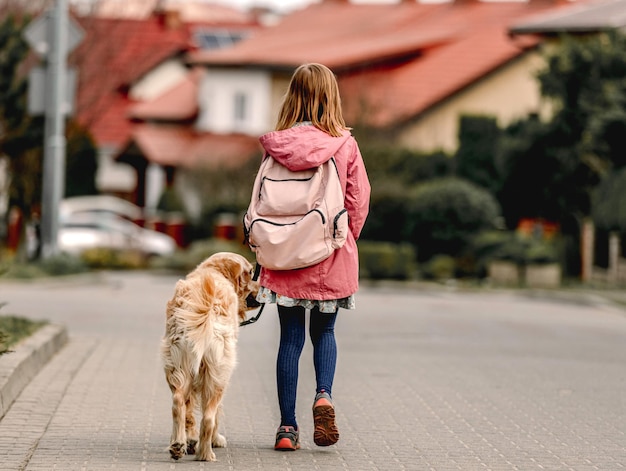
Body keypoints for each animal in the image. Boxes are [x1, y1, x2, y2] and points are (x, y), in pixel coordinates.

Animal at [162, 253, 260, 462]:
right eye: (250, 272)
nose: (264, 287)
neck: (214, 272)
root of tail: (206, 306)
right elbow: (215, 414)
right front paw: (215, 440)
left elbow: (189, 411)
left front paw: (189, 440)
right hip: (218, 372)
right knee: (208, 416)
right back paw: (205, 453)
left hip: (178, 364)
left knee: (178, 402)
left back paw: (178, 445)